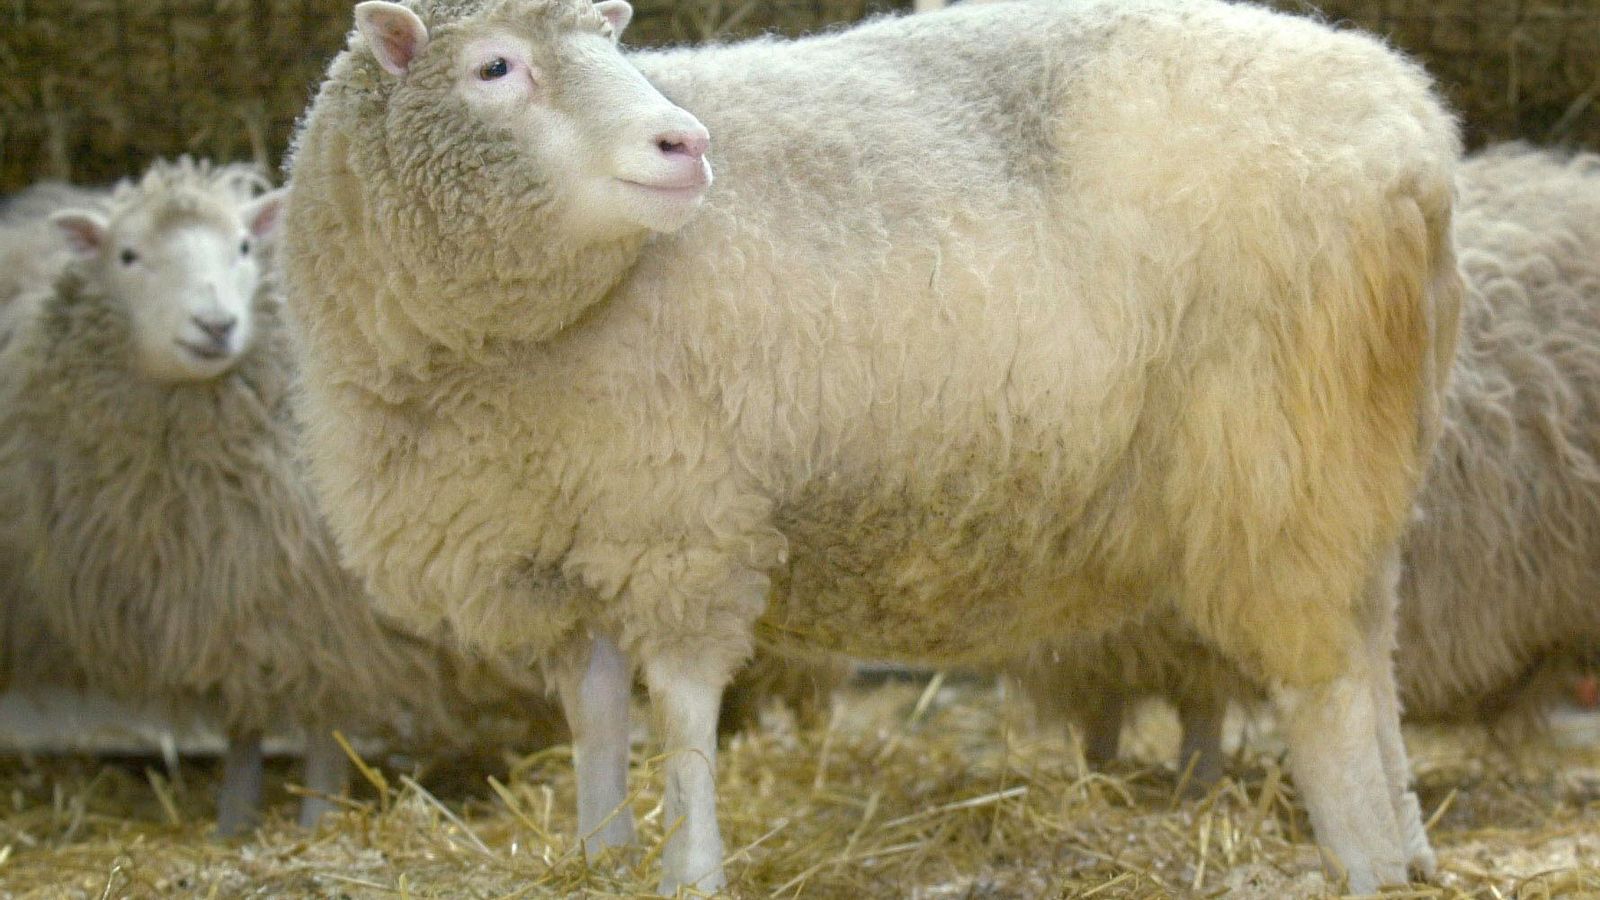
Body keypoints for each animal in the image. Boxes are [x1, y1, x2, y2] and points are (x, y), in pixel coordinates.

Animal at [0, 157, 572, 835]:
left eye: (245, 246)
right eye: (128, 255)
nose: (216, 325)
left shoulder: (330, 615)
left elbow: (327, 725)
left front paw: (317, 818)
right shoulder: (231, 604)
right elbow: (244, 725)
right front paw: (232, 822)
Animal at [278, 0, 1462, 891]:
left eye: (612, 49)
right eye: (494, 65)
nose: (685, 145)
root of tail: (1417, 134)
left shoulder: (684, 520)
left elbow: (687, 711)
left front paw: (690, 869)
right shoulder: (560, 541)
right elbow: (598, 717)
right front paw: (599, 853)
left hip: (1277, 443)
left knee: (1324, 677)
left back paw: (1363, 855)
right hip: (1365, 440)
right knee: (1374, 644)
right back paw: (1408, 844)